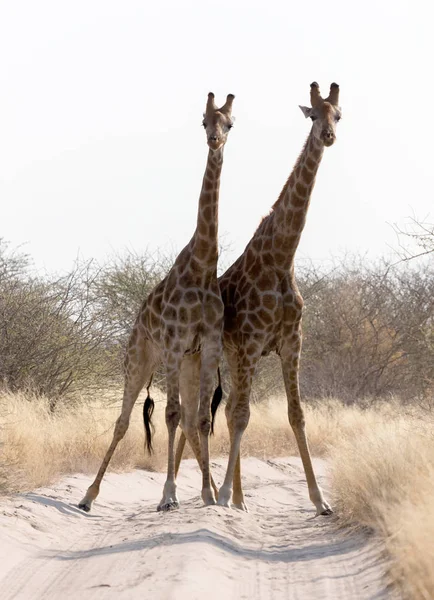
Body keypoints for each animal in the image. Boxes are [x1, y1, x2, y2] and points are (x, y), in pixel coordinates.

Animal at [77, 91, 234, 512]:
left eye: (229, 123)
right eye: (203, 121)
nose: (214, 140)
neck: (202, 265)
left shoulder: (208, 345)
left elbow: (200, 420)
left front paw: (207, 496)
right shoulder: (174, 344)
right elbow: (170, 414)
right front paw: (168, 495)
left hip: (187, 365)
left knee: (194, 421)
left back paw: (210, 490)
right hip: (139, 359)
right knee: (123, 421)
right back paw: (88, 497)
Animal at [175, 81, 340, 516]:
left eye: (338, 115)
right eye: (313, 115)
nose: (328, 136)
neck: (282, 258)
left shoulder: (291, 342)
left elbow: (297, 415)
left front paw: (320, 501)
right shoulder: (250, 344)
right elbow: (242, 415)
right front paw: (225, 498)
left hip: (230, 357)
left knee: (219, 410)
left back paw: (232, 496)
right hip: (212, 356)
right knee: (206, 414)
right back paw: (209, 494)